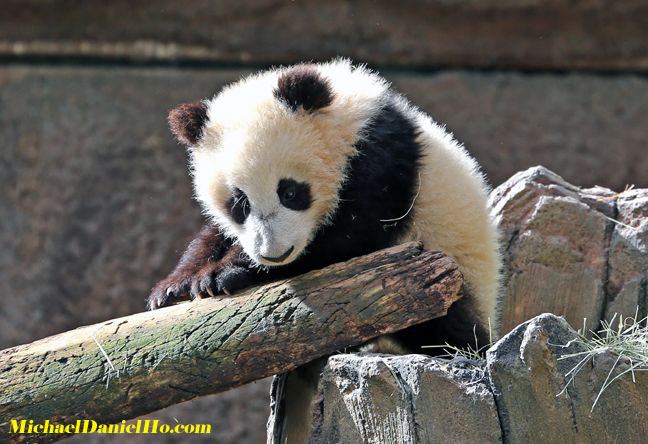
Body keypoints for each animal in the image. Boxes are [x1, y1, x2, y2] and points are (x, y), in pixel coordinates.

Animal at [148, 58, 502, 350]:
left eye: (290, 193)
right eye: (239, 203)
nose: (273, 254)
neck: (347, 122)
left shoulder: (380, 163)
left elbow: (345, 240)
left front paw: (222, 274)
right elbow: (213, 234)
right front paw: (176, 285)